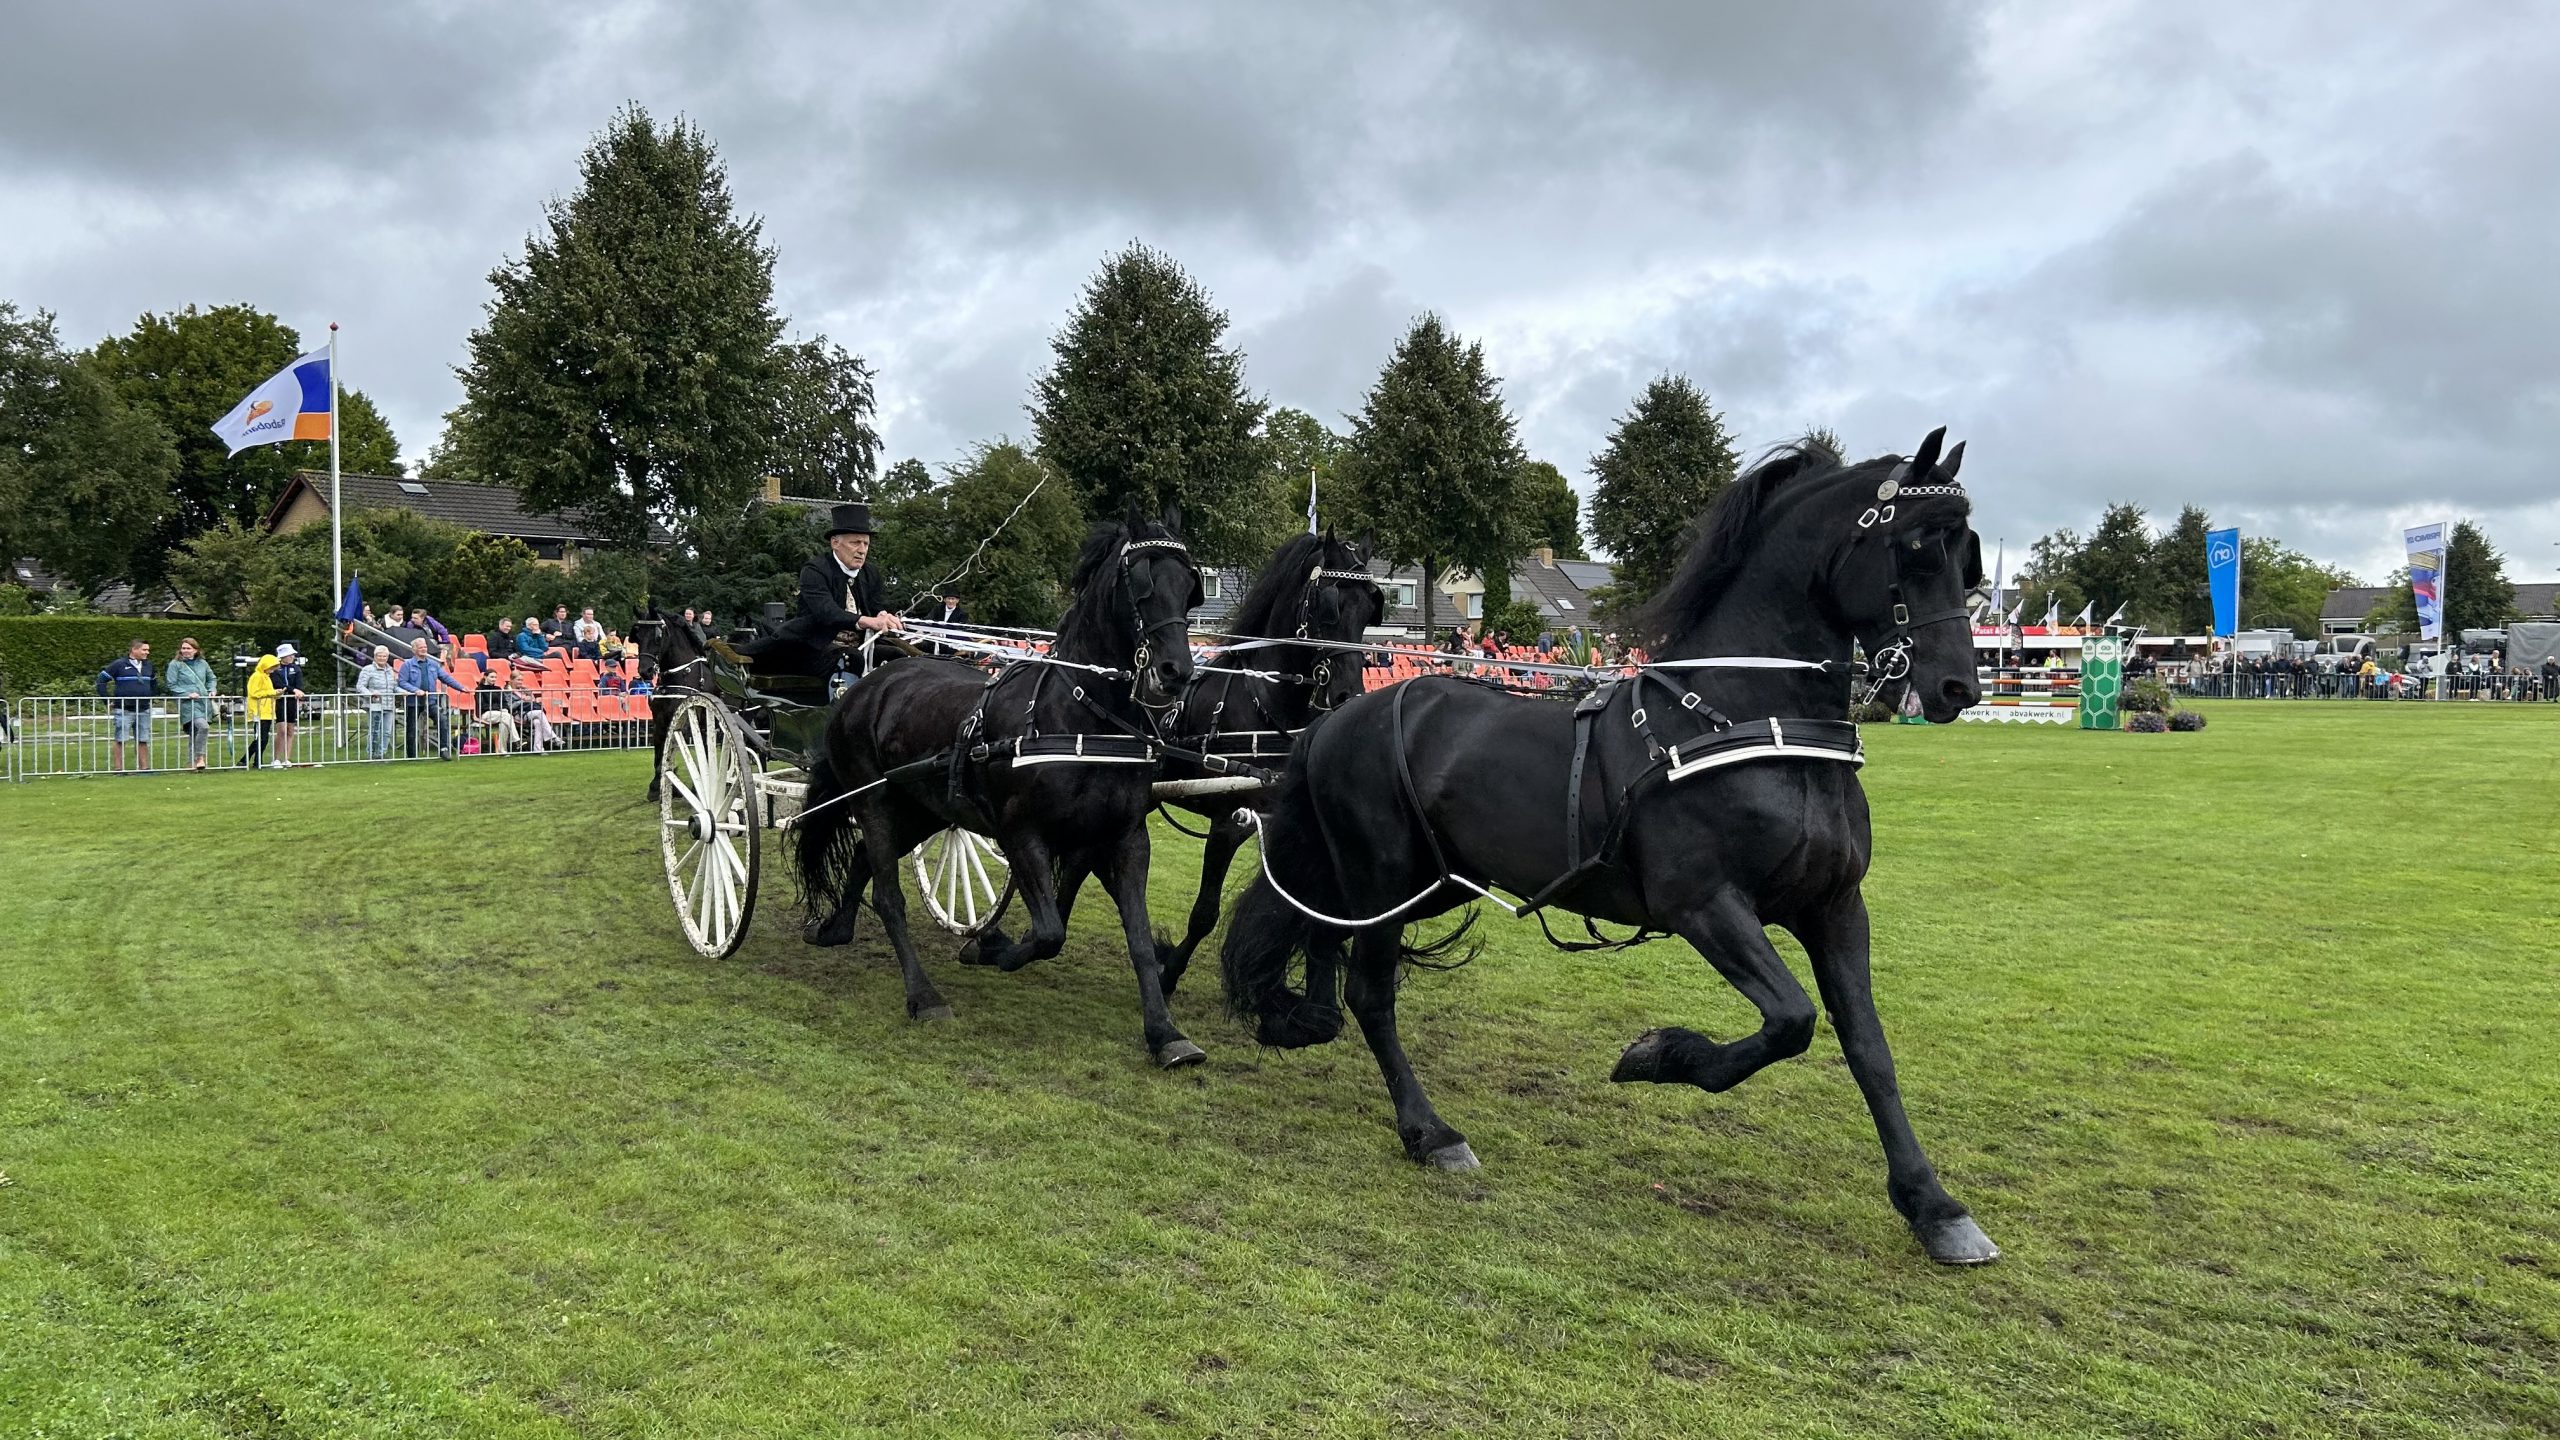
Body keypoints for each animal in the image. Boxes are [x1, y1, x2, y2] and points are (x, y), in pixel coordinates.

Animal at [794, 503, 1211, 1066]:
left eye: (1190, 586)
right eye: (1141, 581)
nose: (1176, 672)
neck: (1082, 717)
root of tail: (864, 686)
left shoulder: (1126, 838)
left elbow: (1139, 938)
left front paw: (1165, 1033)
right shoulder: (1021, 834)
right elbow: (1049, 932)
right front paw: (987, 947)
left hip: (923, 810)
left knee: (863, 859)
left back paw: (837, 929)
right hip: (875, 800)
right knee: (887, 895)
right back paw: (924, 996)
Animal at [1155, 529, 1384, 990]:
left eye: (1371, 607)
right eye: (1328, 604)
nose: (1347, 695)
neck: (1265, 705)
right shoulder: (1228, 824)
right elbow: (1204, 914)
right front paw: (1167, 973)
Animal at [1218, 429, 2001, 1265]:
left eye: (1968, 555)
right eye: (1912, 545)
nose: (1958, 687)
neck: (1754, 721)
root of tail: (1344, 713)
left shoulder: (1836, 908)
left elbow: (1868, 1048)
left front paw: (1933, 1206)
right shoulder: (1706, 906)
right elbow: (1790, 1020)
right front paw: (1660, 1055)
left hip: (1429, 882)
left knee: (1321, 937)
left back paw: (1299, 1020)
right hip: (1386, 878)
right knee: (1370, 993)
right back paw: (1429, 1131)